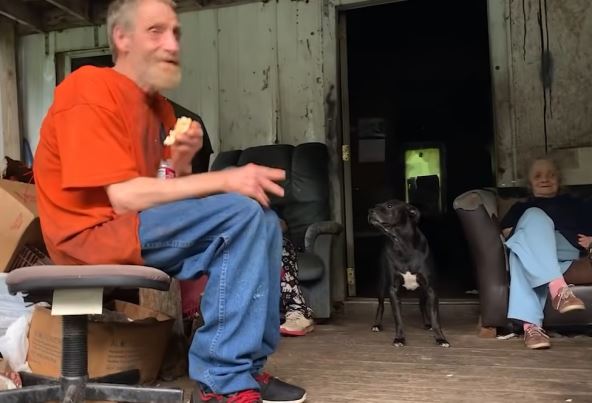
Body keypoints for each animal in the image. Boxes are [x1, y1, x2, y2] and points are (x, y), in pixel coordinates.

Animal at [368, 199, 450, 347]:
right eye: (376, 205)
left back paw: (427, 323)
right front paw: (399, 338)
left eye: (389, 205)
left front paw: (441, 338)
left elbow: (435, 318)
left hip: (423, 290)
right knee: (381, 305)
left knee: (422, 305)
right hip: (381, 284)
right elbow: (398, 319)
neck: (402, 245)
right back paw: (377, 324)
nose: (370, 211)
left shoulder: (431, 289)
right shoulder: (393, 290)